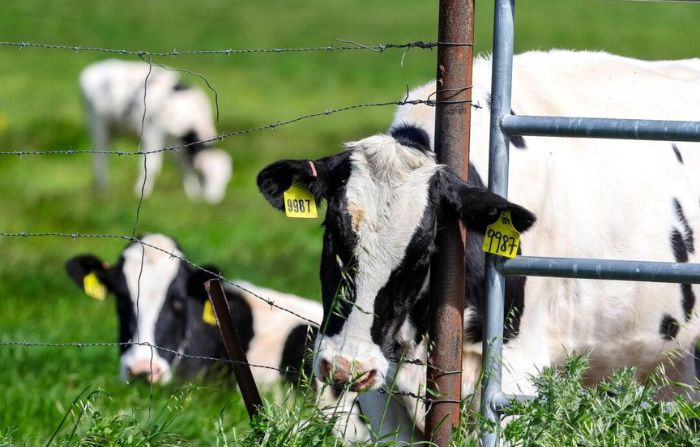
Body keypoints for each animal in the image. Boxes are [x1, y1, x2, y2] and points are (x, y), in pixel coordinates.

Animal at [79, 59, 232, 203]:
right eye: (204, 176)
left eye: (225, 179)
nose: (214, 200)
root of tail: (97, 67)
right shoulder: (152, 131)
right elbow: (152, 166)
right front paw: (142, 193)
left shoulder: (177, 145)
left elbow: (185, 167)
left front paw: (193, 195)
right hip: (97, 124)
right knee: (100, 156)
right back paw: (102, 188)